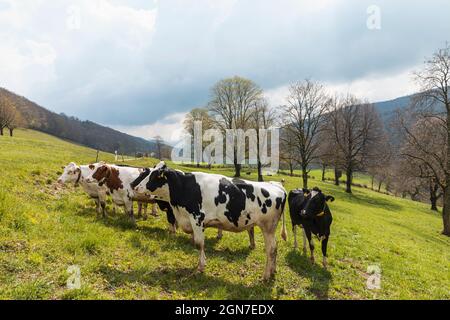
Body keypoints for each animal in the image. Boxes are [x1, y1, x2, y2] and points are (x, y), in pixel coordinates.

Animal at [130, 161, 286, 278]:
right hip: (270, 229)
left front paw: (200, 267)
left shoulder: (197, 218)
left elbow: (199, 243)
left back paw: (266, 275)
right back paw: (273, 271)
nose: (135, 186)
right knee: (276, 247)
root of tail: (277, 186)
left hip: (267, 227)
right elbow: (195, 241)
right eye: (148, 173)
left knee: (271, 249)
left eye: (155, 176)